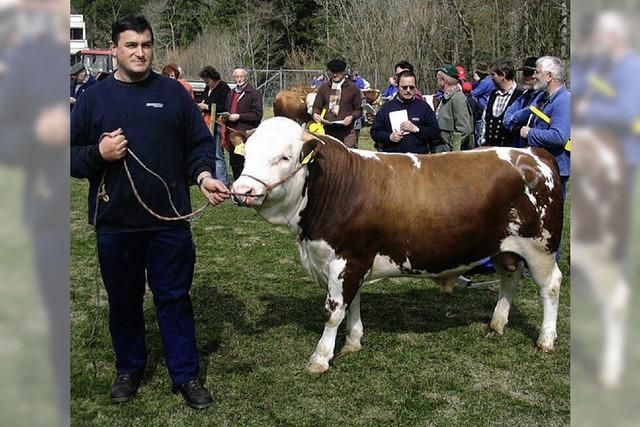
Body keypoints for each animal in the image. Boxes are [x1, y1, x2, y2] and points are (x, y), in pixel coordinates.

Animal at [230, 118, 564, 374]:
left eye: (284, 157)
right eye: (248, 153)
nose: (242, 190)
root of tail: (532, 153)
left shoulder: (346, 260)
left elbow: (334, 311)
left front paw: (321, 358)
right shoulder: (352, 261)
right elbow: (353, 303)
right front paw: (353, 341)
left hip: (540, 247)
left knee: (550, 286)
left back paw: (546, 339)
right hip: (503, 247)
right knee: (509, 278)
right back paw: (497, 324)